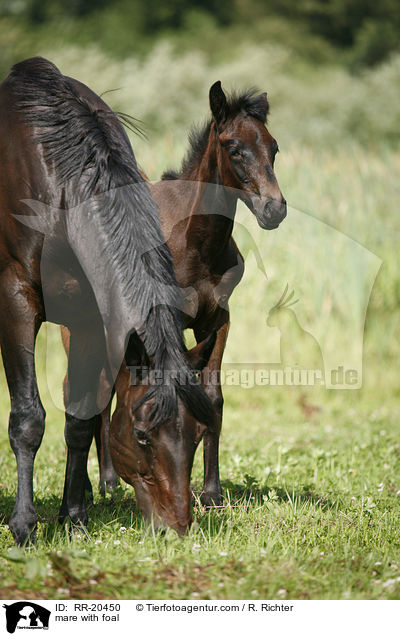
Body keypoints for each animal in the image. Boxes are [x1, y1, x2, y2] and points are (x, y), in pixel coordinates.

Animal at [0, 58, 212, 540]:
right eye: (142, 435)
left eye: (195, 435)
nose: (177, 527)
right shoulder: (15, 299)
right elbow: (28, 419)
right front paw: (24, 525)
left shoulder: (88, 319)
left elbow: (80, 420)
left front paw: (74, 516)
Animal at [94, 80, 288, 506]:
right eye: (233, 146)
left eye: (274, 147)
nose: (274, 209)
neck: (197, 243)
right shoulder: (163, 320)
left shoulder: (217, 320)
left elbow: (212, 397)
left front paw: (212, 492)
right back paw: (108, 481)